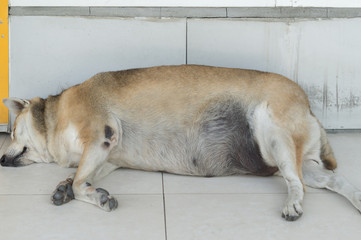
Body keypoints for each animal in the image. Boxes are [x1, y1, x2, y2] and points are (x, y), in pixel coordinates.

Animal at [0, 64, 360, 221]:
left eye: (13, 131)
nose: (2, 160)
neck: (55, 117)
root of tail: (308, 104)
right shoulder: (108, 156)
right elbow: (79, 177)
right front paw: (67, 186)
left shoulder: (100, 135)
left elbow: (79, 182)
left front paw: (93, 195)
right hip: (293, 158)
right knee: (331, 180)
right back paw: (356, 200)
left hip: (274, 134)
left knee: (297, 183)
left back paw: (293, 204)